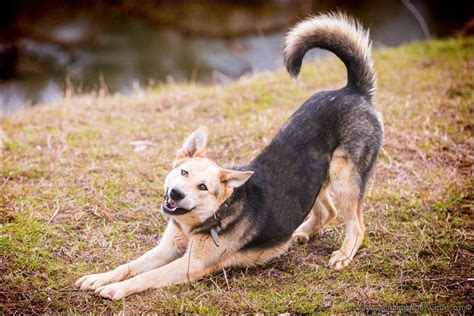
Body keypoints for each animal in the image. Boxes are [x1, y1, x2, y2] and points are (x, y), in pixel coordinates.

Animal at [76, 12, 384, 298]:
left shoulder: (191, 264)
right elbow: (130, 265)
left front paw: (116, 289)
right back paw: (303, 232)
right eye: (183, 172)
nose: (176, 193)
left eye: (203, 187)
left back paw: (343, 254)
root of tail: (353, 90)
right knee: (327, 210)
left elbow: (146, 277)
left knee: (356, 225)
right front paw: (99, 277)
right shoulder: (167, 248)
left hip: (345, 176)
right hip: (315, 176)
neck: (200, 222)